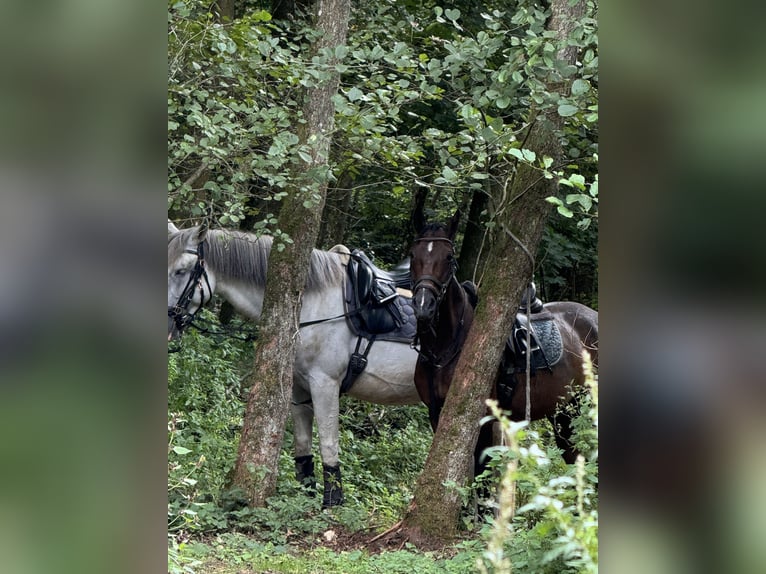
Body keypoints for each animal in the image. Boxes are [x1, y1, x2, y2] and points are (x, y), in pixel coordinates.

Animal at [167, 222, 421, 507]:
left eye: (181, 270)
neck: (313, 304)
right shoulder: (299, 387)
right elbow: (302, 444)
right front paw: (305, 494)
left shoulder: (325, 384)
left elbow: (328, 444)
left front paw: (332, 502)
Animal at [409, 212, 598, 467]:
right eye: (413, 255)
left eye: (448, 257)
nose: (424, 307)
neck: (442, 351)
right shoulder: (436, 412)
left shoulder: (481, 419)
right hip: (563, 411)